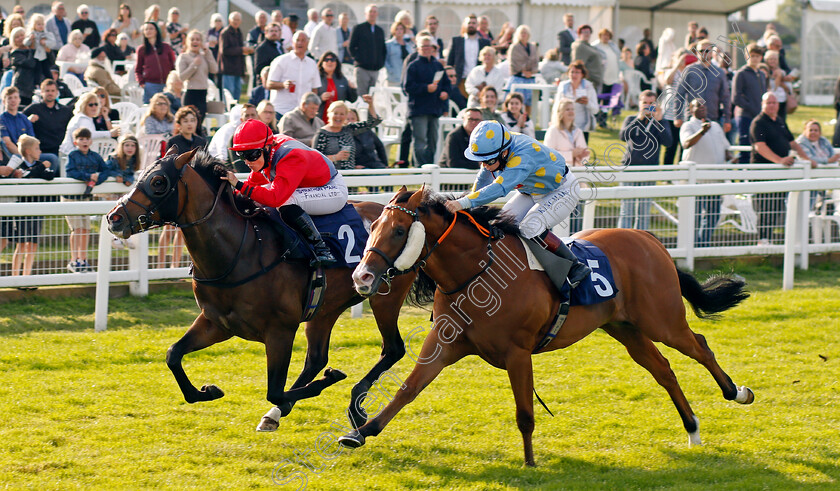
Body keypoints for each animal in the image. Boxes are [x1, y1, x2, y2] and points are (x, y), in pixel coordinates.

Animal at [106, 147, 416, 430]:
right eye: (139, 176)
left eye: (158, 181)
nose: (114, 218)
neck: (239, 252)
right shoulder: (216, 323)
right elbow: (173, 355)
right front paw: (207, 391)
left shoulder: (280, 331)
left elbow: (274, 391)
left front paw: (330, 379)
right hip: (325, 308)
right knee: (316, 358)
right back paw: (280, 413)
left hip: (384, 297)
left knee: (393, 349)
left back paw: (354, 403)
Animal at [342, 186, 756, 468]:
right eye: (372, 225)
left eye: (398, 231)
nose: (361, 277)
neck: (477, 272)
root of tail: (649, 239)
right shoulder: (445, 344)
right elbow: (407, 389)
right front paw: (360, 432)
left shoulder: (518, 352)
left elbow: (525, 412)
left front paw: (529, 462)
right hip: (625, 328)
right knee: (664, 370)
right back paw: (692, 429)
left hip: (662, 320)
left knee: (700, 346)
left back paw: (737, 393)